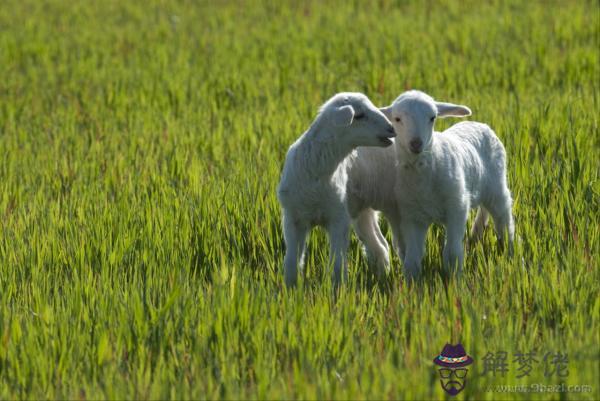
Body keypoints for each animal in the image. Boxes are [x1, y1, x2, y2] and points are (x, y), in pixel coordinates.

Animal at [278, 92, 398, 286]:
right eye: (359, 116)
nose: (391, 129)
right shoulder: (293, 218)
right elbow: (291, 261)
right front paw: (290, 287)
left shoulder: (338, 218)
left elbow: (337, 263)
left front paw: (338, 289)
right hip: (362, 210)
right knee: (378, 245)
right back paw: (382, 275)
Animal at [346, 90, 516, 278]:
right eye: (397, 119)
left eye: (432, 118)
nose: (416, 143)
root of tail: (479, 124)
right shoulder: (412, 217)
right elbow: (412, 259)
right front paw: (412, 283)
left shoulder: (456, 207)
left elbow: (452, 254)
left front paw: (454, 281)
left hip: (497, 189)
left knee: (504, 223)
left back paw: (512, 255)